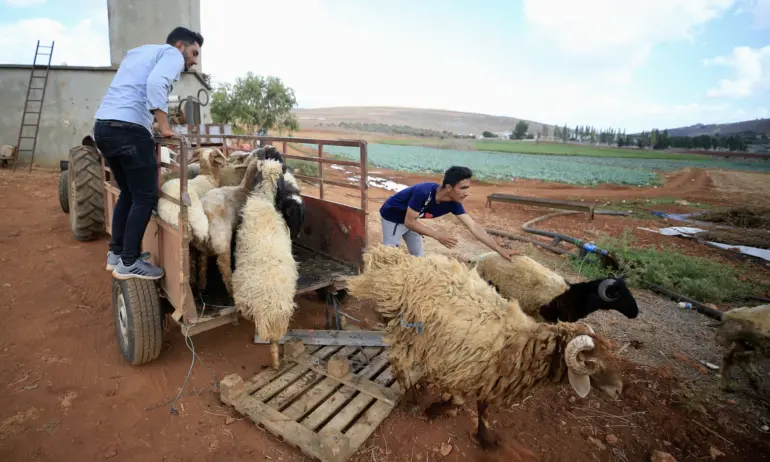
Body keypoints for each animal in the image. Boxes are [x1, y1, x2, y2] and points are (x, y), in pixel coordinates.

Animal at [344, 245, 620, 452]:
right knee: (401, 361)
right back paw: (411, 396)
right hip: (406, 331)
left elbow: (483, 407)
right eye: (592, 362)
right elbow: (458, 401)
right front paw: (435, 409)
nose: (619, 390)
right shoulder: (464, 367)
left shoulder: (486, 374)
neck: (519, 344)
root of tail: (401, 263)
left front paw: (484, 437)